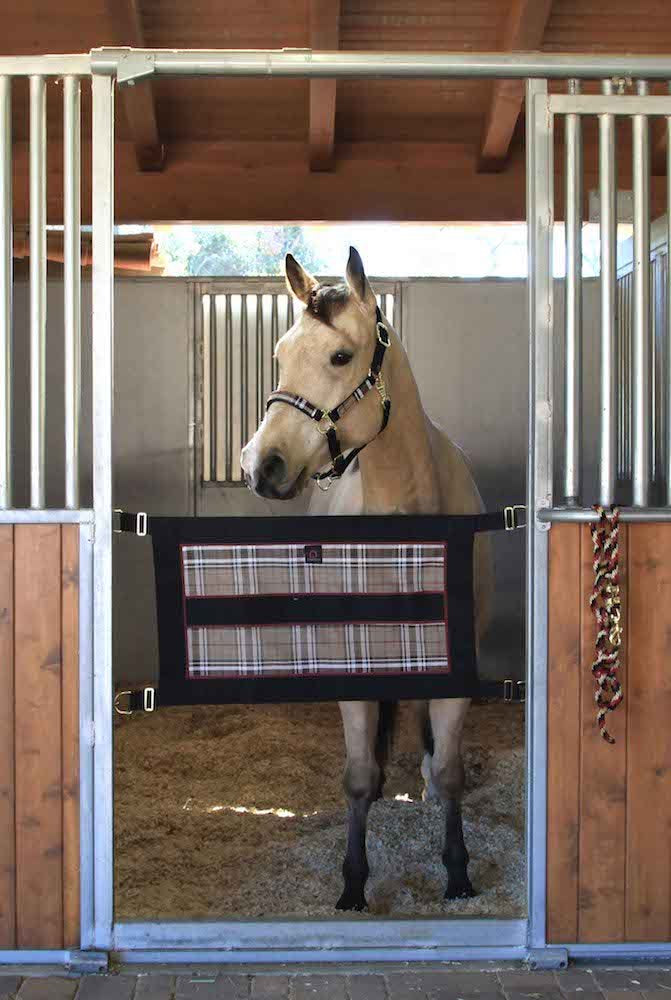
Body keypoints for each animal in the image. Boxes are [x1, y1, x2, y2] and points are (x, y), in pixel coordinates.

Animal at [240, 247, 492, 912]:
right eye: (280, 354)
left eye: (339, 356)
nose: (261, 465)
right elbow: (355, 776)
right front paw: (353, 881)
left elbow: (451, 769)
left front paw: (458, 872)